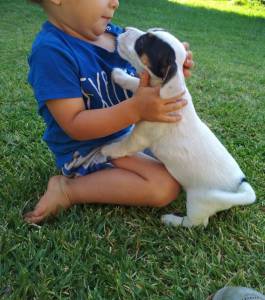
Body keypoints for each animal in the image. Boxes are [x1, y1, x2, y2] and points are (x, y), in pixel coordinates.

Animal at [100, 27, 255, 227]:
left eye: (142, 43)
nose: (125, 29)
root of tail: (239, 185)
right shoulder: (146, 89)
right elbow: (135, 84)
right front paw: (119, 75)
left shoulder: (139, 137)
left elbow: (124, 145)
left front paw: (108, 149)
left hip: (198, 203)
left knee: (196, 224)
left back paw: (171, 220)